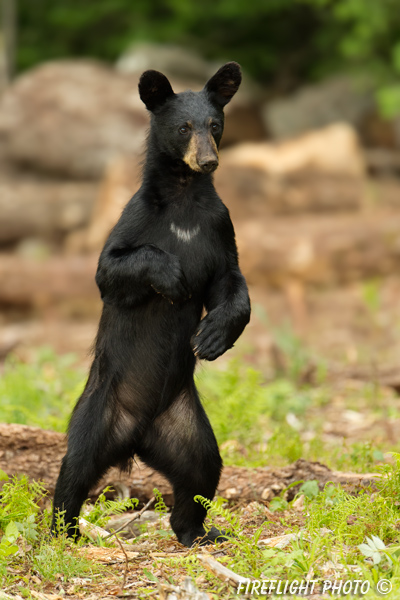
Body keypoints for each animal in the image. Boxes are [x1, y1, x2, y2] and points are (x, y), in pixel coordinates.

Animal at [50, 62, 250, 548]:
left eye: (214, 125)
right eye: (183, 128)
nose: (208, 160)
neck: (184, 200)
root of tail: (136, 438)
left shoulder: (219, 227)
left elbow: (231, 282)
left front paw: (212, 337)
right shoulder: (136, 220)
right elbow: (110, 268)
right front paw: (174, 279)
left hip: (184, 424)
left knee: (202, 470)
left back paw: (199, 532)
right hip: (98, 410)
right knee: (75, 467)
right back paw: (65, 533)